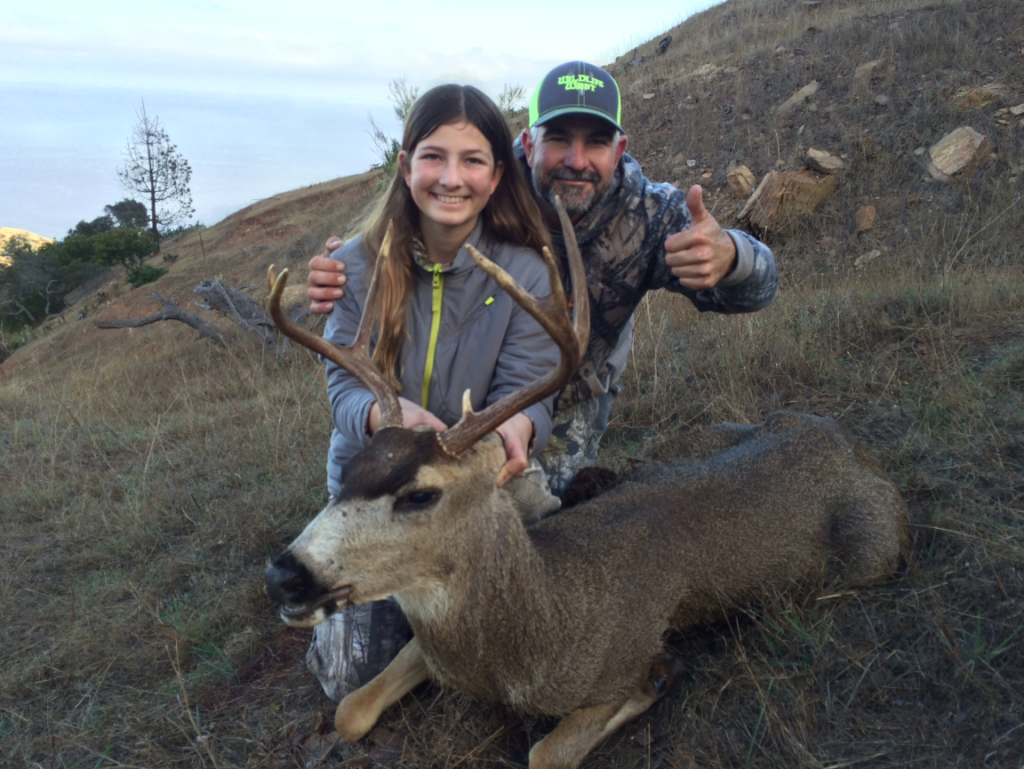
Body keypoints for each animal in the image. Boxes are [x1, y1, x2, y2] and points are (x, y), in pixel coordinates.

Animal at [264, 200, 910, 769]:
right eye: (351, 471)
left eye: (420, 494)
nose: (284, 574)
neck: (524, 641)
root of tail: (839, 435)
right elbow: (348, 710)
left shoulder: (615, 667)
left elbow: (546, 752)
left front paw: (663, 676)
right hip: (682, 442)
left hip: (872, 552)